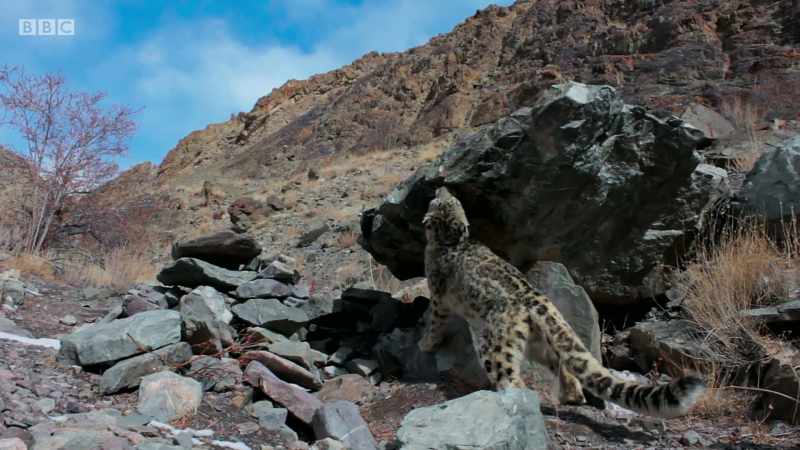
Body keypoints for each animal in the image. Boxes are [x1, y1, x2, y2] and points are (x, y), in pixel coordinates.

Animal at [419, 187, 705, 417]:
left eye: (443, 200)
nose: (441, 187)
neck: (450, 241)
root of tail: (537, 299)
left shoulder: (438, 295)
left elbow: (435, 322)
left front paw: (426, 344)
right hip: (538, 342)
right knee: (562, 365)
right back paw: (571, 396)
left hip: (497, 347)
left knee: (511, 378)